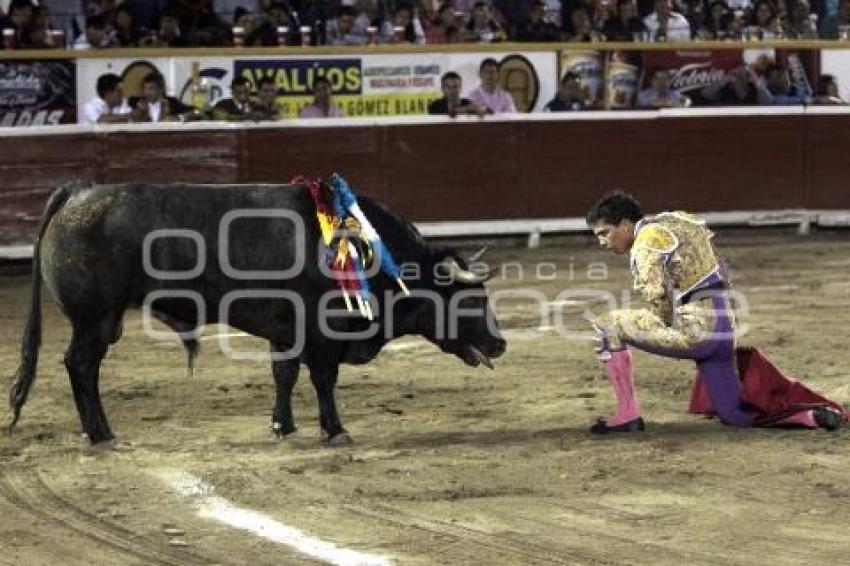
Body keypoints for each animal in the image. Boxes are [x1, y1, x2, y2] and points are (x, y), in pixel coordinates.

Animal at [6, 184, 504, 446]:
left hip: (103, 322)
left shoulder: (285, 332)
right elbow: (323, 380)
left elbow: (283, 375)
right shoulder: (323, 335)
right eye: (470, 301)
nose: (500, 343)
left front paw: (282, 425)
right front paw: (334, 430)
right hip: (94, 320)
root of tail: (77, 191)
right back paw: (100, 433)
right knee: (80, 366)